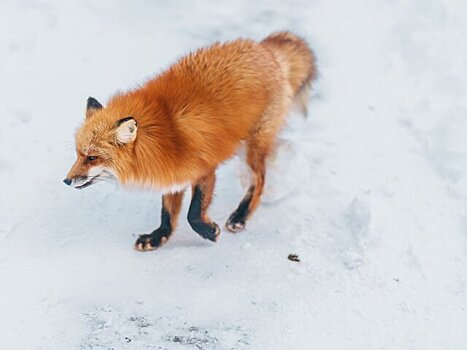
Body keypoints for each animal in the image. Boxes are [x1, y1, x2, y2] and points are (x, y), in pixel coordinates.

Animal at [63, 31, 318, 252]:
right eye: (78, 154)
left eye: (92, 157)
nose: (66, 181)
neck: (162, 133)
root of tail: (264, 50)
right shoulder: (171, 174)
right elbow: (168, 214)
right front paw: (158, 237)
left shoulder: (204, 170)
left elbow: (193, 214)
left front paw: (209, 231)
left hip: (252, 148)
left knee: (259, 181)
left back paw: (241, 216)